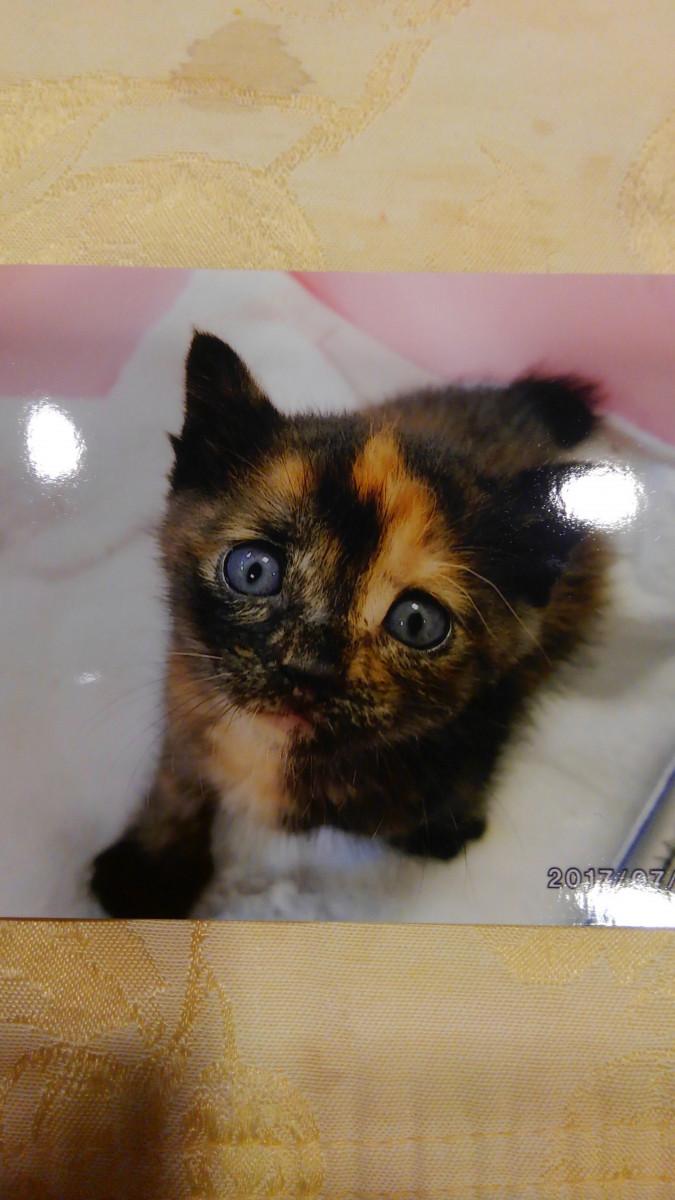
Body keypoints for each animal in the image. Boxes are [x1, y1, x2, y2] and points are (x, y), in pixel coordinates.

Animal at [90, 331, 608, 918]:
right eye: (253, 571)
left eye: (416, 622)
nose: (308, 668)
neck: (275, 753)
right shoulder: (186, 685)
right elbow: (178, 777)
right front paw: (152, 869)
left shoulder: (489, 710)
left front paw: (444, 827)